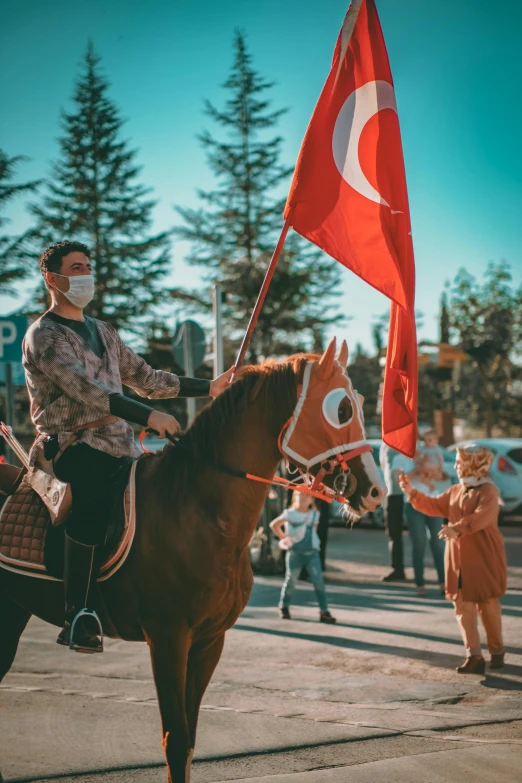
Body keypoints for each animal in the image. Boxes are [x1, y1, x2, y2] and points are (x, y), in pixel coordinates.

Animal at [0, 342, 382, 783]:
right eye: (342, 409)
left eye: (361, 403)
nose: (376, 491)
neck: (197, 507)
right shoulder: (167, 637)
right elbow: (175, 738)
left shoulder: (209, 640)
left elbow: (188, 743)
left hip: (13, 612)